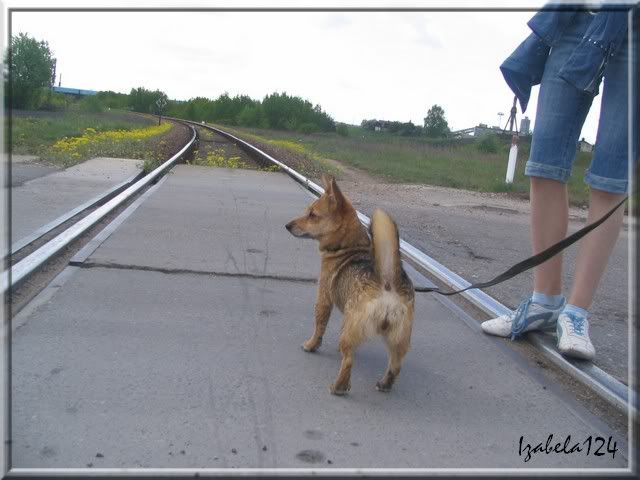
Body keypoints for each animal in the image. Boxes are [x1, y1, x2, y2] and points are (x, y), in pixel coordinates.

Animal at [285, 175, 414, 395]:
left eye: (312, 215)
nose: (287, 225)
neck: (348, 247)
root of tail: (387, 282)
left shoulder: (323, 300)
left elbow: (319, 327)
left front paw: (311, 345)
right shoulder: (347, 316)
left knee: (348, 361)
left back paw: (339, 387)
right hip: (398, 339)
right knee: (395, 366)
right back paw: (384, 384)